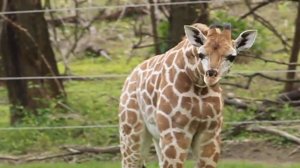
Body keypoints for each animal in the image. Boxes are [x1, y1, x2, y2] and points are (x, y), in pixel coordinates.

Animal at [118, 22, 256, 168]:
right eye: (201, 54)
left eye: (232, 56)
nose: (211, 76)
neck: (199, 85)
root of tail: (130, 77)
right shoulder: (175, 133)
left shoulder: (210, 134)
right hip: (131, 132)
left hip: (156, 137)